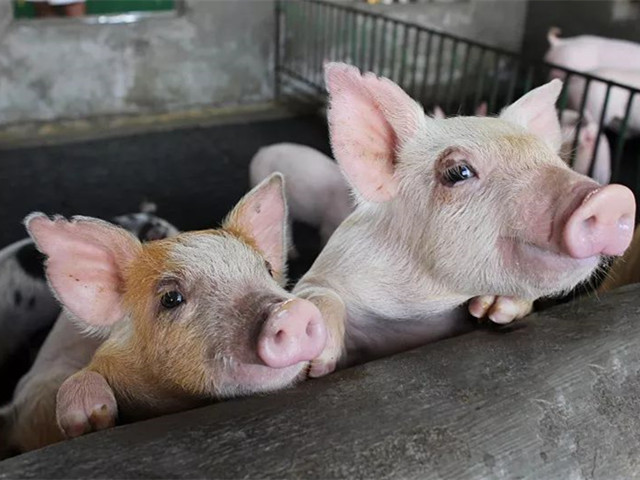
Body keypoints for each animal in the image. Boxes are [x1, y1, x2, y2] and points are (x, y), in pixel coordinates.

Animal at [296, 62, 636, 376]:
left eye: (555, 160)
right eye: (458, 171)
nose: (612, 197)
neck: (420, 308)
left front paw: (493, 307)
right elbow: (314, 293)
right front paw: (314, 361)